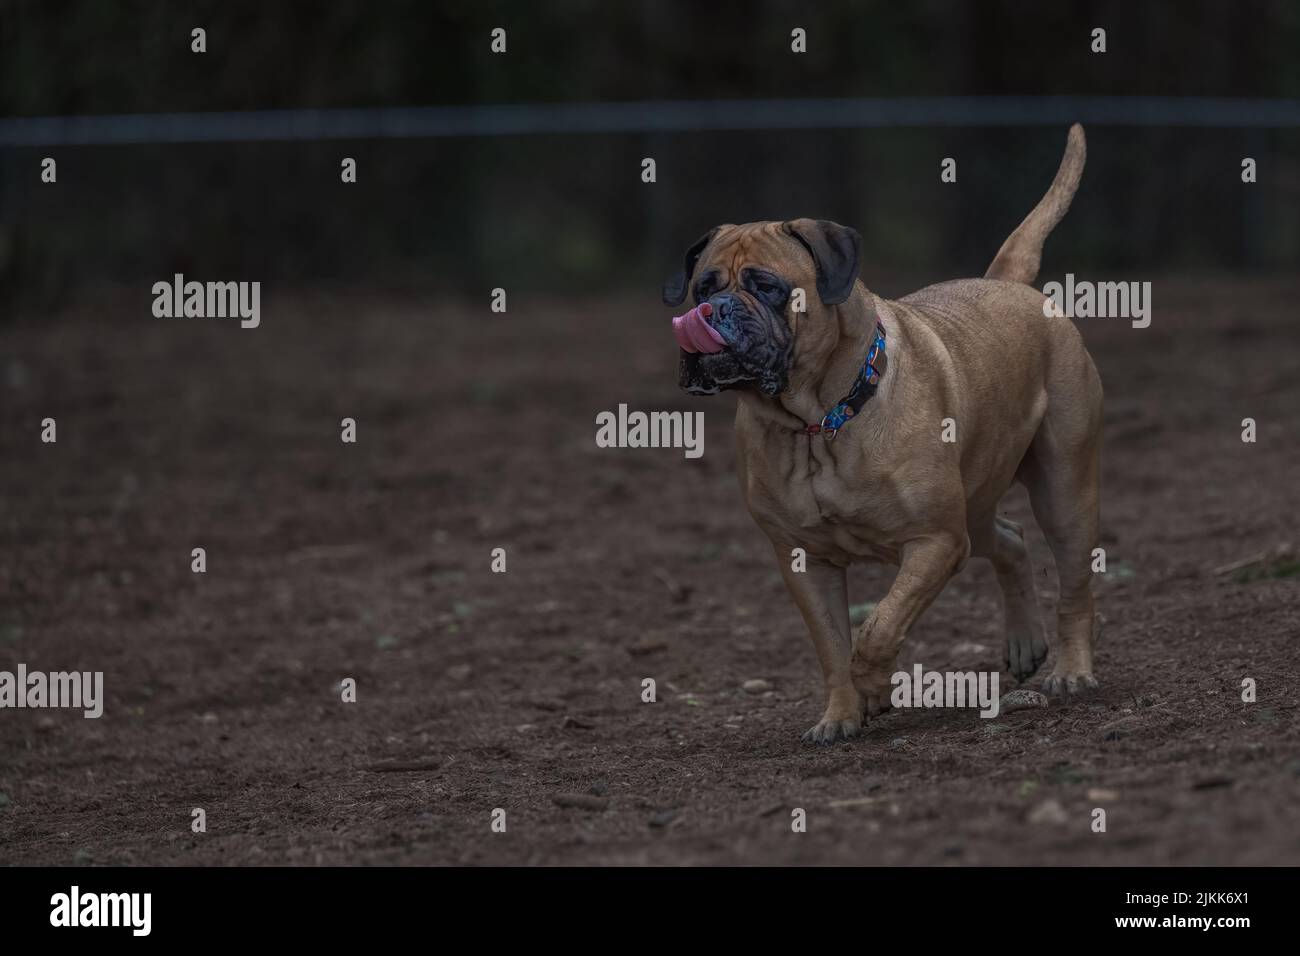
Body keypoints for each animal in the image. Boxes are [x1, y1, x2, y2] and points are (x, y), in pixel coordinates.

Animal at [665, 123, 1102, 743]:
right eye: (702, 286)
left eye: (767, 286)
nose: (714, 309)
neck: (818, 422)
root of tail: (1008, 284)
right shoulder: (805, 561)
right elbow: (831, 646)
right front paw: (840, 716)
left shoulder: (935, 540)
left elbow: (877, 629)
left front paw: (873, 689)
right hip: (974, 506)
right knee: (1011, 540)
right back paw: (1024, 643)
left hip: (1061, 489)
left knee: (1074, 584)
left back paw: (1072, 671)